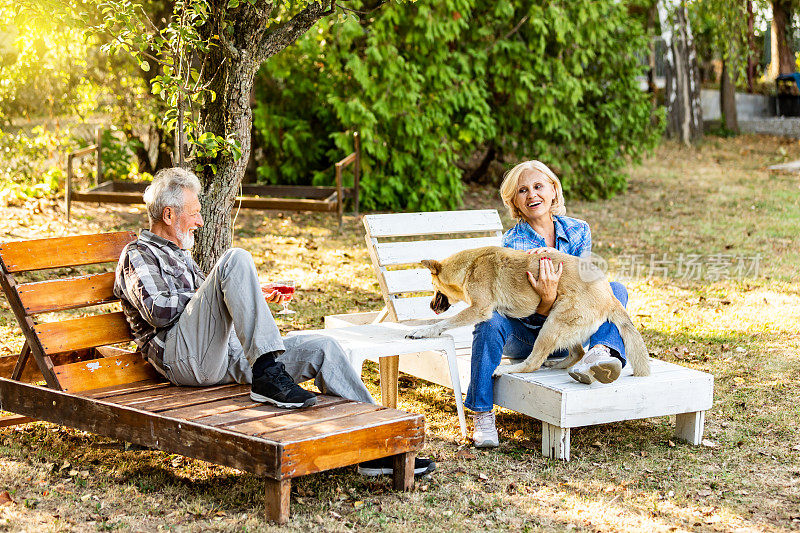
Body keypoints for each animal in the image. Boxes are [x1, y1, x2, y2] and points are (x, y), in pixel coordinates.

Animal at [406, 246, 648, 376]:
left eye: (432, 285)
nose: (430, 306)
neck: (470, 266)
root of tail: (608, 294)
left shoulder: (479, 309)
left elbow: (444, 322)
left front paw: (423, 332)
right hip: (562, 324)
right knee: (576, 353)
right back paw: (555, 364)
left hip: (552, 325)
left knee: (533, 363)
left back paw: (506, 370)